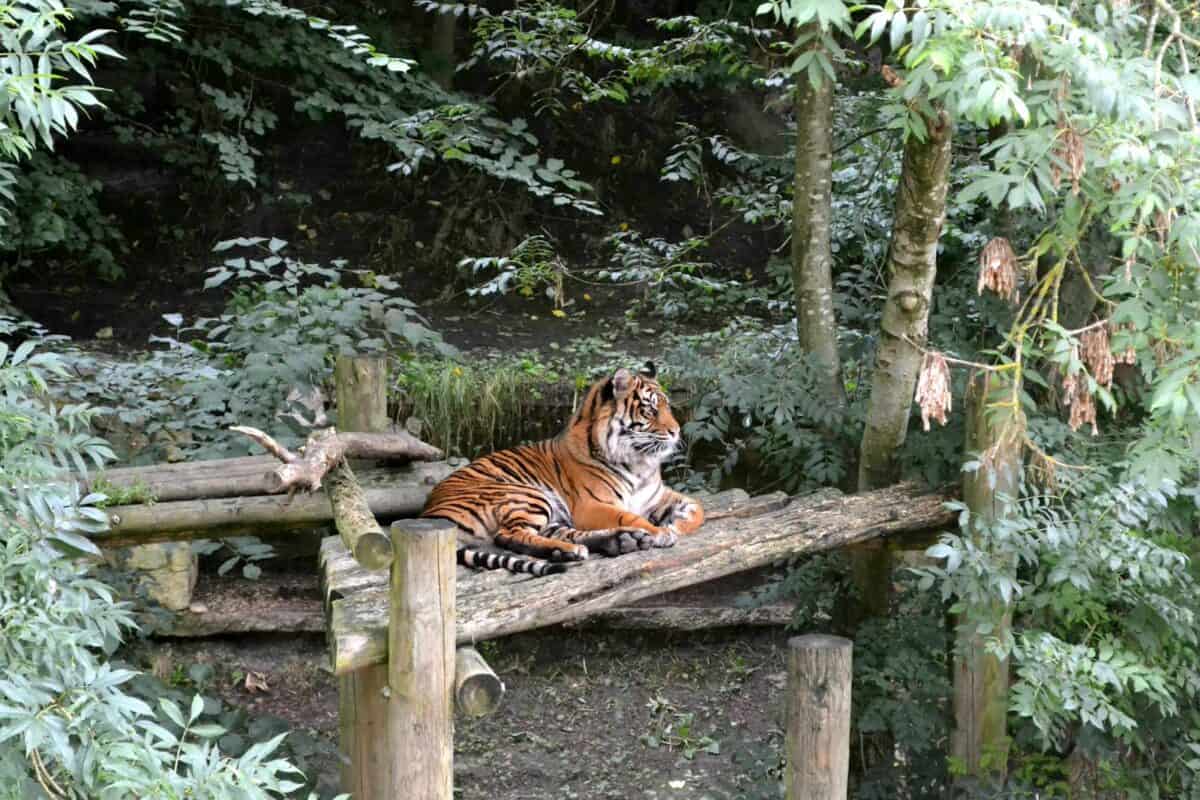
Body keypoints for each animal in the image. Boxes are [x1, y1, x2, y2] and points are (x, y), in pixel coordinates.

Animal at [421, 362, 705, 577]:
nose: (677, 431)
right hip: (525, 495)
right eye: (650, 409)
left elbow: (698, 508)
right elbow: (630, 516)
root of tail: (430, 512)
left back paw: (614, 542)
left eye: (667, 406)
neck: (639, 463)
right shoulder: (590, 505)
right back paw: (575, 549)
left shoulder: (656, 496)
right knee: (508, 535)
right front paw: (661, 532)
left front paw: (677, 524)